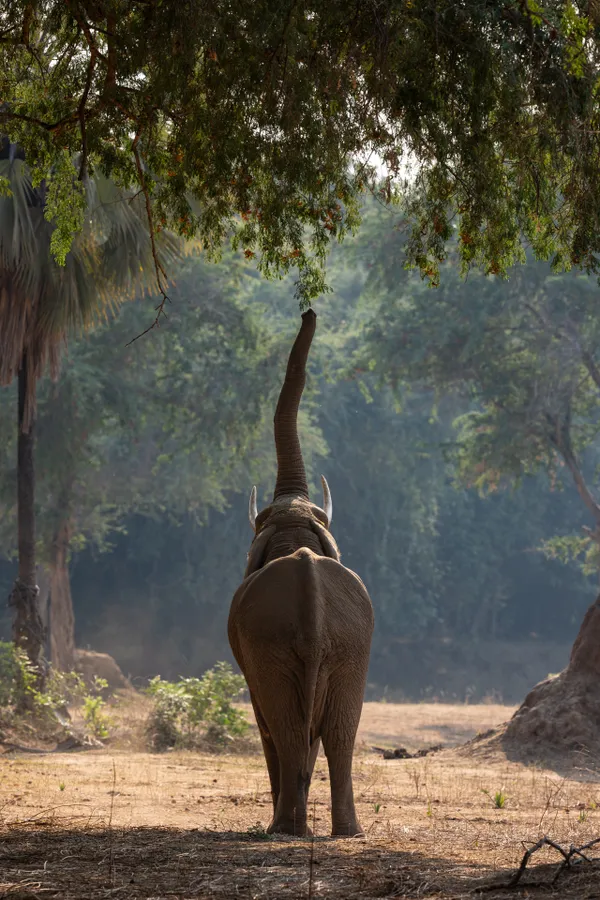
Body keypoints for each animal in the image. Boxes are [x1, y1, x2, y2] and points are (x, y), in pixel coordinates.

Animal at [228, 308, 374, 837]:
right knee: (338, 731)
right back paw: (342, 831)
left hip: (284, 646)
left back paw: (286, 829)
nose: (309, 311)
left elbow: (269, 722)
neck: (296, 534)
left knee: (288, 728)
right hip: (348, 647)